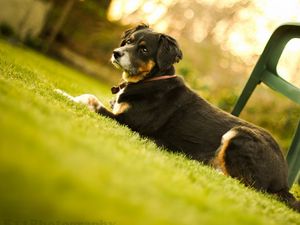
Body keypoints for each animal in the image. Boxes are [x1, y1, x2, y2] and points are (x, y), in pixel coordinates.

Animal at [55, 25, 298, 213]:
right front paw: (62, 91)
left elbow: (91, 98)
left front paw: (64, 94)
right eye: (129, 42)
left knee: (242, 182)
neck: (149, 81)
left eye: (144, 49)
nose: (116, 52)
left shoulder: (127, 122)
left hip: (239, 135)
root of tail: (283, 180)